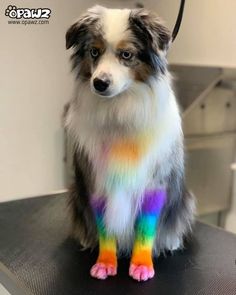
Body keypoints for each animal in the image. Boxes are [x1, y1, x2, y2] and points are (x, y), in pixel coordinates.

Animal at [63, 5, 195, 282]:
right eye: (94, 52)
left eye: (126, 54)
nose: (99, 83)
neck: (120, 109)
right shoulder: (98, 180)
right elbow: (105, 228)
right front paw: (105, 263)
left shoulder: (155, 184)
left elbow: (145, 230)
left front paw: (142, 265)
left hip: (184, 200)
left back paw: (171, 241)